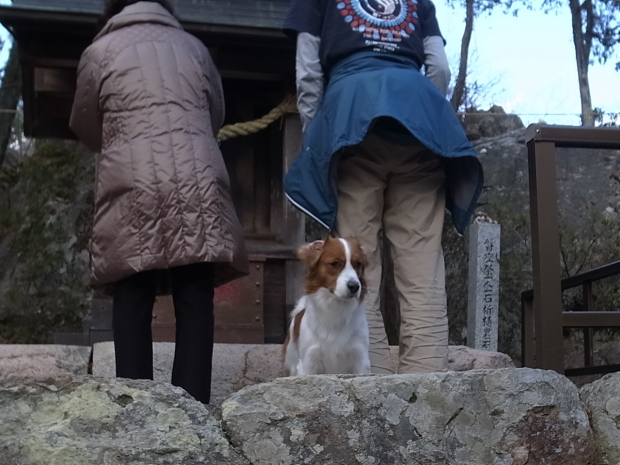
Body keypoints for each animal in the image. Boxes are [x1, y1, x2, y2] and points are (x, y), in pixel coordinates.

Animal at [284, 237, 370, 376]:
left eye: (358, 264)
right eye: (334, 263)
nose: (355, 286)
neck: (336, 308)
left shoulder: (360, 360)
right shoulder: (309, 361)